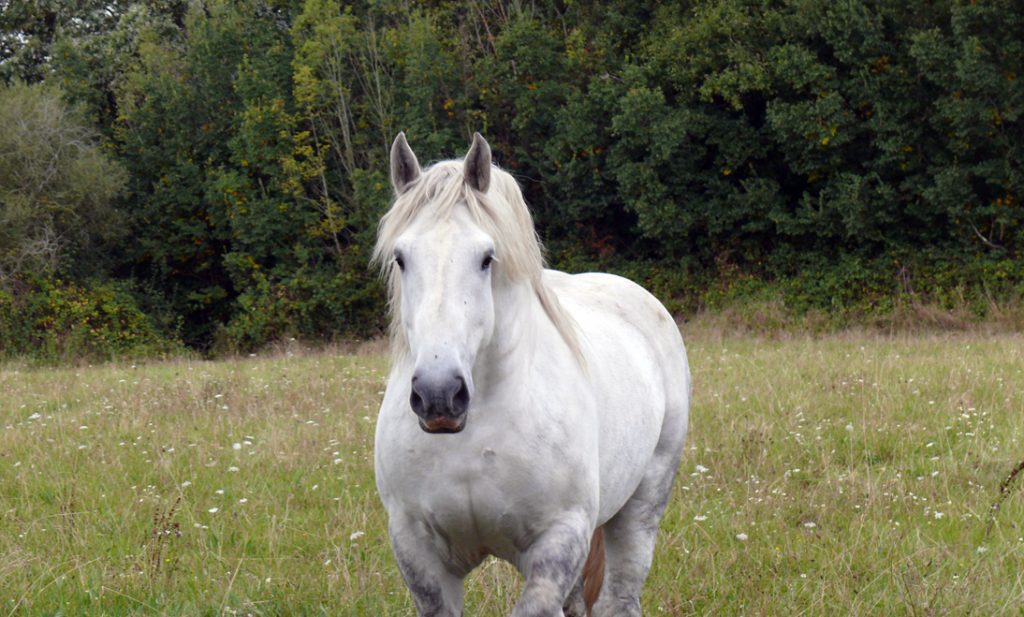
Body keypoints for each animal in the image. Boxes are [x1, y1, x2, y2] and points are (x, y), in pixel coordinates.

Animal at [372, 133, 692, 613]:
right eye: (401, 258)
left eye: (486, 258)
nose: (439, 395)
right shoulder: (419, 554)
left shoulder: (557, 542)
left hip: (641, 507)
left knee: (619, 598)